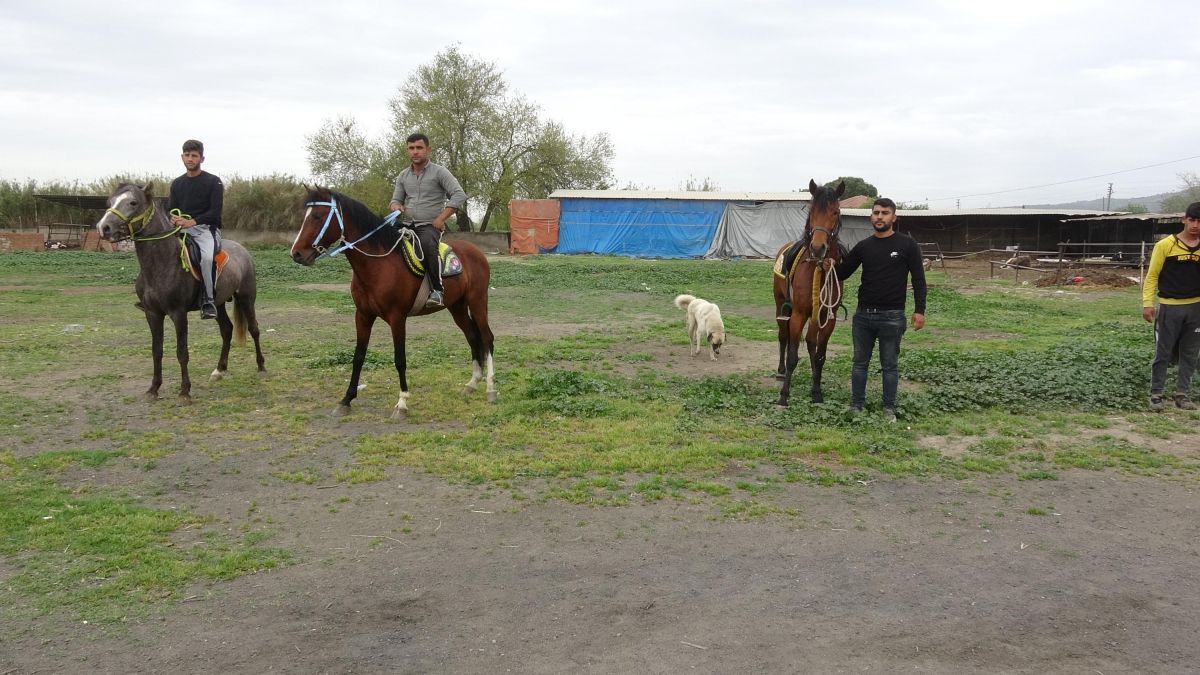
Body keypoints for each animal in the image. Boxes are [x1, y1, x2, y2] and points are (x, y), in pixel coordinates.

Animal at [92, 180, 266, 398]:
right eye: (110, 202)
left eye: (133, 202)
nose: (103, 228)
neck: (162, 263)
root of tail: (242, 250)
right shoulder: (152, 314)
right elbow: (156, 351)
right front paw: (154, 388)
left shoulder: (178, 313)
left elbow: (182, 352)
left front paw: (184, 391)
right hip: (218, 304)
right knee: (227, 330)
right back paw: (219, 370)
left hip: (246, 298)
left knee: (254, 329)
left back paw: (261, 366)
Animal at [290, 183, 496, 415]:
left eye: (317, 216)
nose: (296, 253)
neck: (379, 265)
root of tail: (476, 252)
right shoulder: (363, 316)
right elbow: (358, 357)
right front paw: (346, 399)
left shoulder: (397, 317)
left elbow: (400, 359)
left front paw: (402, 402)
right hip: (457, 306)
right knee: (472, 336)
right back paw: (472, 383)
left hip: (477, 301)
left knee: (487, 338)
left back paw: (490, 389)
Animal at [772, 176, 849, 403]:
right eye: (811, 211)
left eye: (836, 212)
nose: (817, 248)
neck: (819, 269)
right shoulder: (798, 314)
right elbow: (793, 356)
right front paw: (784, 395)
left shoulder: (828, 317)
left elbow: (820, 354)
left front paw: (816, 392)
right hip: (781, 304)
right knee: (783, 336)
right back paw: (781, 372)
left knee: (810, 343)